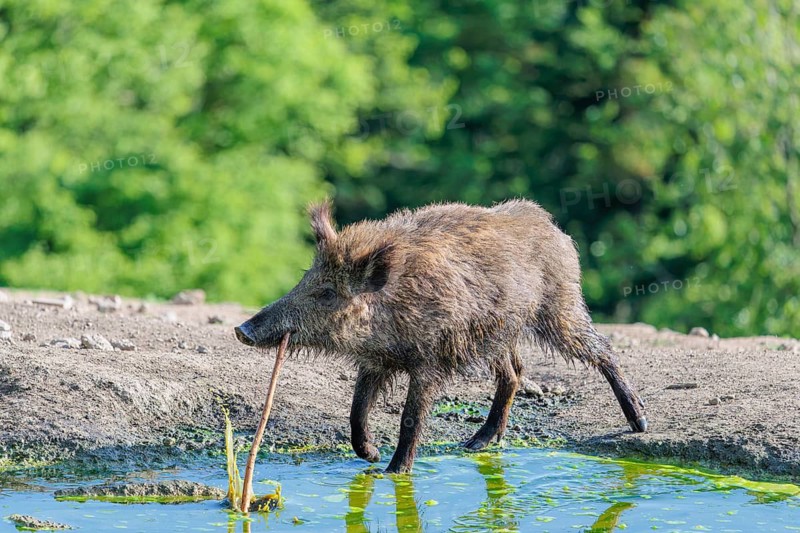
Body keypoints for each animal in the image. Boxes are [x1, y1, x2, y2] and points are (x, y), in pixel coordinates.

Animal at [235, 199, 647, 474]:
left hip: (559, 308)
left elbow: (410, 417)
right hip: (497, 332)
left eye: (327, 293)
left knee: (601, 348)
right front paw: (370, 455)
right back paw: (475, 443)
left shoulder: (429, 363)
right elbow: (356, 409)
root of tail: (551, 226)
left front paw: (393, 472)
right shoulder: (375, 362)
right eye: (305, 278)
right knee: (514, 372)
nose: (242, 329)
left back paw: (639, 422)